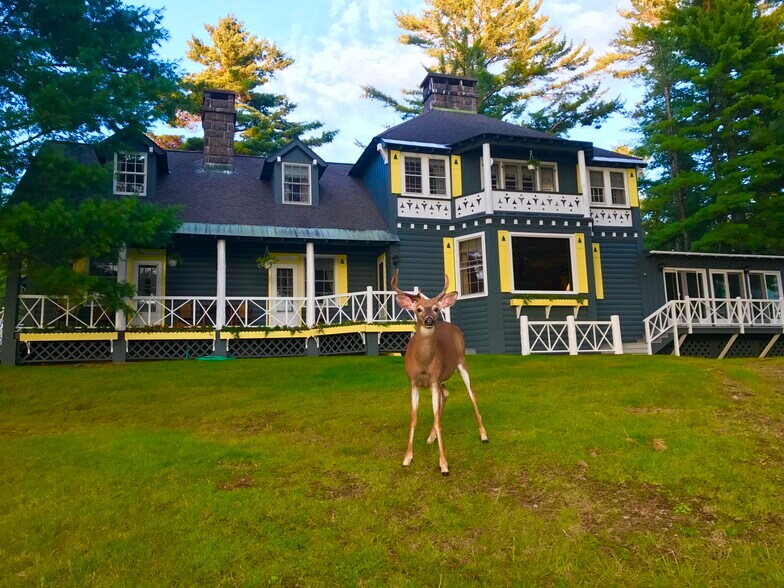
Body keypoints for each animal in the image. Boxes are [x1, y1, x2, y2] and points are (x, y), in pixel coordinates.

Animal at [391, 270, 488, 475]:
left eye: (436, 309)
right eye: (419, 309)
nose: (429, 320)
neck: (423, 362)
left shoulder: (434, 380)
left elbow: (437, 420)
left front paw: (444, 464)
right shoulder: (414, 383)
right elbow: (413, 419)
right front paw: (407, 458)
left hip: (461, 362)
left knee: (471, 395)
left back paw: (483, 435)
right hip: (442, 378)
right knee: (447, 393)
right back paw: (430, 438)